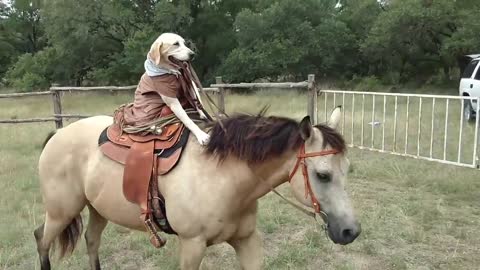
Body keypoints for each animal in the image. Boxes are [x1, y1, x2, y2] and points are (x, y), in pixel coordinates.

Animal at [34, 106, 360, 268]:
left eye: (347, 168)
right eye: (322, 175)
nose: (351, 231)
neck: (224, 177)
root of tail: (57, 134)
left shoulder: (247, 241)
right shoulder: (192, 245)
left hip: (97, 209)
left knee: (91, 241)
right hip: (61, 211)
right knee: (42, 239)